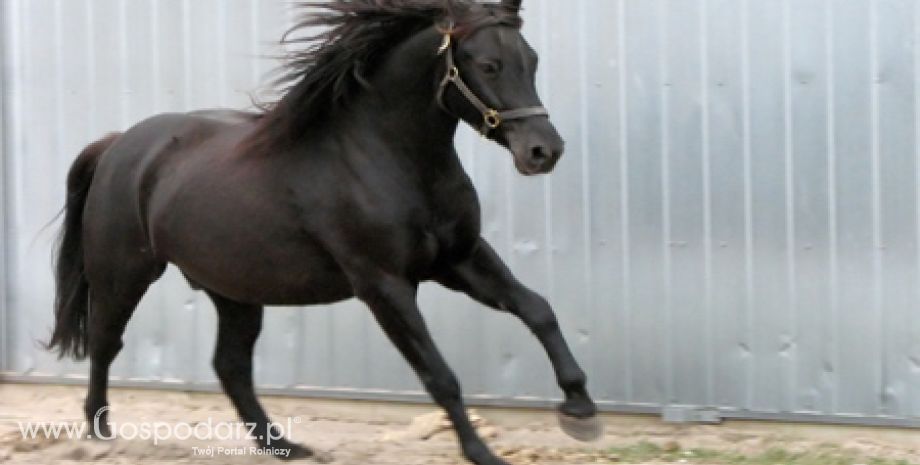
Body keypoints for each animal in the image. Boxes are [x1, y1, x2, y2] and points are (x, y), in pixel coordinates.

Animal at [46, 1, 600, 462]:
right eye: (487, 65)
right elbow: (439, 375)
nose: (543, 151)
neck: (388, 157)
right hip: (124, 275)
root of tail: (119, 144)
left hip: (235, 292)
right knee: (105, 343)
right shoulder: (383, 284)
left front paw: (580, 410)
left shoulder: (460, 259)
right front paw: (482, 454)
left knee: (231, 366)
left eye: (531, 60)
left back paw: (285, 447)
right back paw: (99, 436)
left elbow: (537, 310)